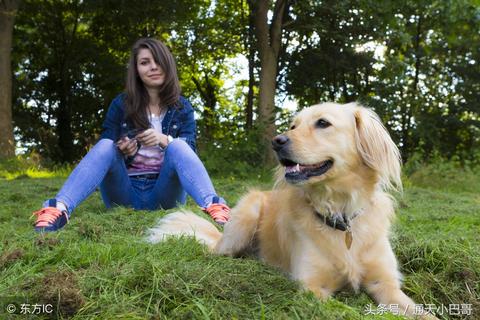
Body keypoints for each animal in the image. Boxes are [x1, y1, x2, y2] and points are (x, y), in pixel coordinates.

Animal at [150, 104, 438, 318]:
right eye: (293, 126)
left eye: (323, 123)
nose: (276, 141)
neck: (340, 213)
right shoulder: (313, 287)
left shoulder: (386, 284)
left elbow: (424, 314)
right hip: (247, 213)